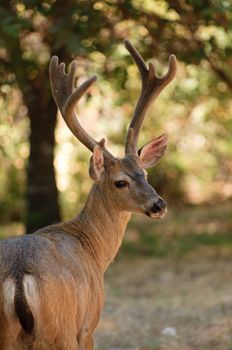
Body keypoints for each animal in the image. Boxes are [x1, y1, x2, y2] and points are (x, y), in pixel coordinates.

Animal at [0, 39, 175, 348]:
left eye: (146, 174)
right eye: (120, 182)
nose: (159, 205)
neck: (94, 251)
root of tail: (18, 275)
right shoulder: (89, 326)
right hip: (60, 328)